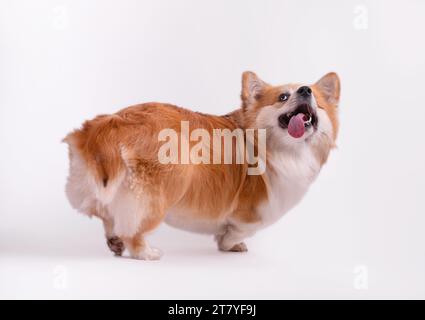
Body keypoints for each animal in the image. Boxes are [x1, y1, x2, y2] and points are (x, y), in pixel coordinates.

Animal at [63, 71, 342, 258]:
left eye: (316, 99)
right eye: (283, 96)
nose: (305, 90)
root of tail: (115, 121)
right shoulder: (249, 215)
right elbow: (235, 231)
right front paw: (230, 245)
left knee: (108, 214)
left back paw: (115, 242)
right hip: (163, 187)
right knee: (132, 228)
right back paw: (146, 252)